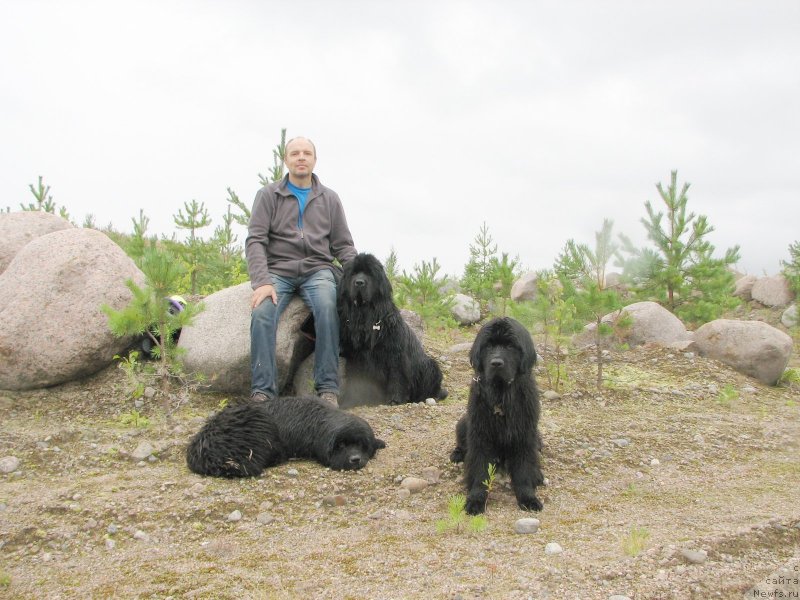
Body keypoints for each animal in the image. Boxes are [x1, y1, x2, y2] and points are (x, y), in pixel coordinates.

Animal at [336, 253, 450, 408]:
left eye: (370, 274)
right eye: (353, 273)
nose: (359, 282)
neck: (366, 316)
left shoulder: (396, 355)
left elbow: (397, 377)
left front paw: (395, 400)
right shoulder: (355, 356)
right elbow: (355, 380)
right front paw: (350, 400)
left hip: (431, 366)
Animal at [450, 318, 544, 516]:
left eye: (510, 346)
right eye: (488, 345)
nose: (496, 363)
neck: (501, 395)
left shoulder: (524, 435)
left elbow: (524, 469)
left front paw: (528, 498)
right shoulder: (480, 435)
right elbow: (480, 470)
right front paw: (476, 500)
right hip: (463, 422)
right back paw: (457, 454)